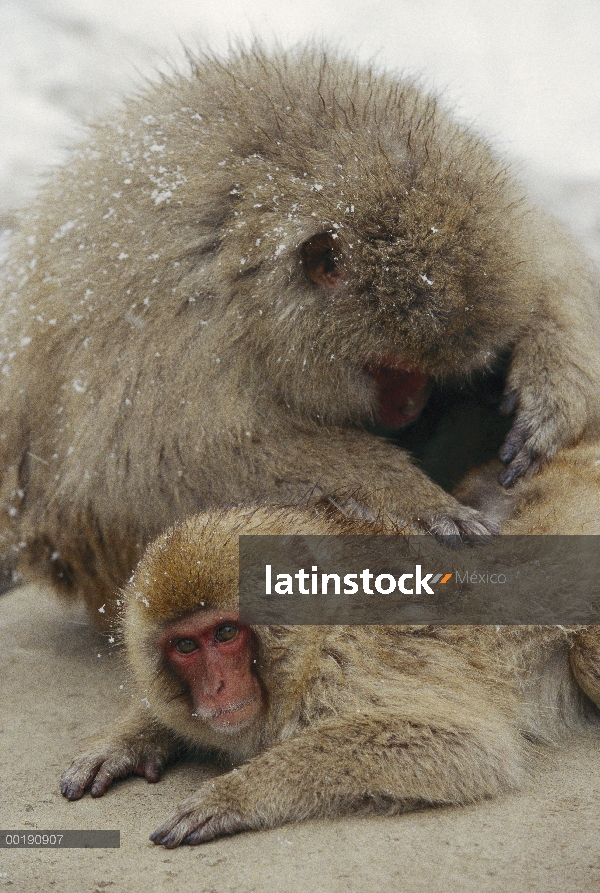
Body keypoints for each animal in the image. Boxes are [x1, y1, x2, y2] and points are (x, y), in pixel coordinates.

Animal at [1, 45, 600, 616]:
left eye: (425, 373)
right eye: (390, 369)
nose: (410, 406)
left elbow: (548, 256)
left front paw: (551, 392)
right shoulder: (181, 322)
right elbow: (138, 477)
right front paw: (401, 494)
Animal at [62, 506, 600, 848]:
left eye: (226, 633)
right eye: (187, 646)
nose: (215, 689)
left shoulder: (343, 667)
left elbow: (464, 744)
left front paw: (238, 793)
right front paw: (128, 738)